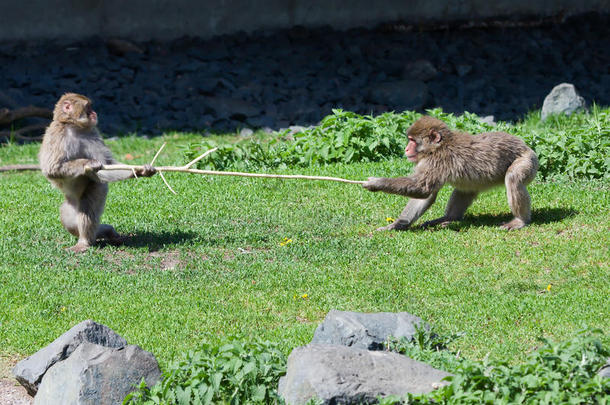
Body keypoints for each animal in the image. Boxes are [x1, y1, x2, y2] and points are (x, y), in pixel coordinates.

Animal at [39, 94, 156, 252]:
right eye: (88, 107)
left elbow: (107, 164)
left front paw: (139, 170)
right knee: (70, 222)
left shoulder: (93, 134)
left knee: (87, 209)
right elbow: (52, 168)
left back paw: (88, 240)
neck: (75, 127)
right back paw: (103, 233)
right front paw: (88, 164)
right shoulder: (58, 134)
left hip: (97, 189)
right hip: (70, 205)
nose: (94, 113)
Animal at [360, 116, 536, 230]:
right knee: (465, 189)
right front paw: (397, 224)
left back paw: (520, 220)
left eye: (412, 140)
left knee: (513, 178)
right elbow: (426, 195)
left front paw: (376, 183)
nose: (406, 149)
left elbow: (422, 189)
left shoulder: (436, 161)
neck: (438, 147)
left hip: (526, 161)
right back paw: (449, 218)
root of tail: (526, 146)